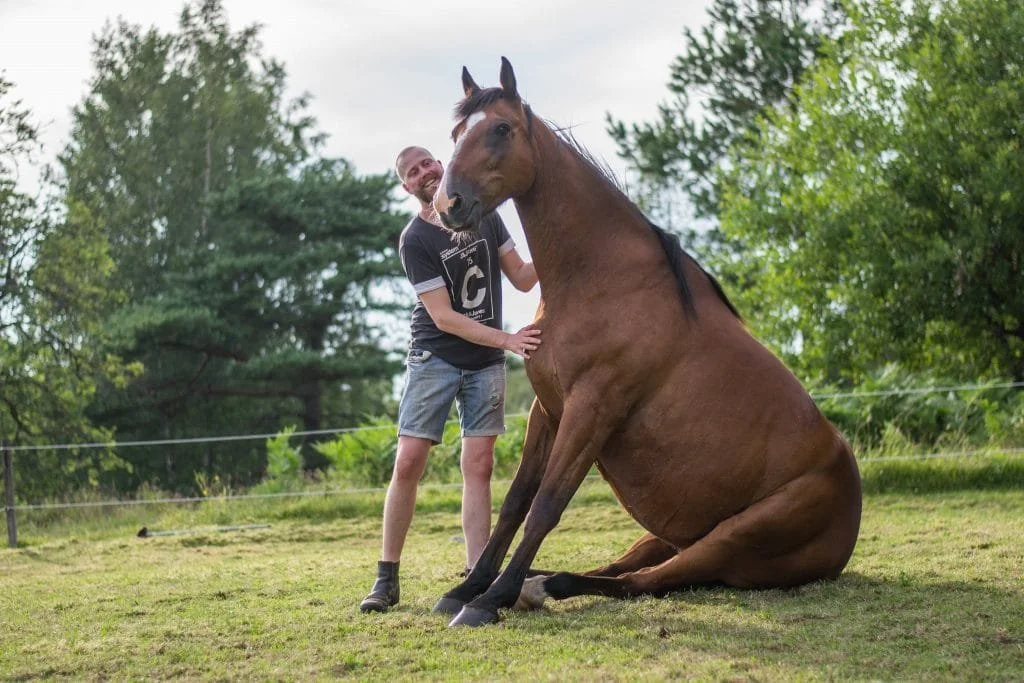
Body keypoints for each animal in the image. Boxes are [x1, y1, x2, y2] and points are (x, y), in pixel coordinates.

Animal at [430, 58, 862, 628]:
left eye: (501, 129)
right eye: (457, 133)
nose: (448, 205)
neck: (600, 279)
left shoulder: (592, 409)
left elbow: (548, 504)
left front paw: (485, 600)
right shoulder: (549, 409)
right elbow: (516, 501)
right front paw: (468, 588)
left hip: (730, 538)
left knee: (643, 583)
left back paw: (534, 587)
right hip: (666, 536)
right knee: (624, 567)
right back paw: (533, 583)